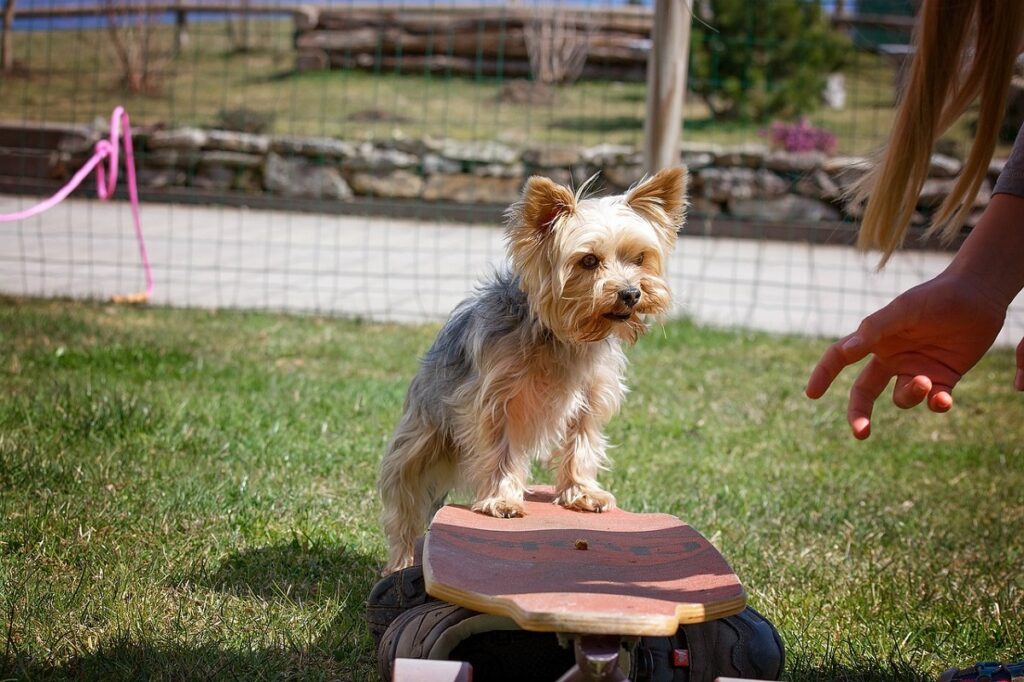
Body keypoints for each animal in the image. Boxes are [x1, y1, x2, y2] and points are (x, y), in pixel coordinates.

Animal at [378, 166, 688, 569]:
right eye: (589, 261)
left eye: (638, 258)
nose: (631, 293)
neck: (561, 336)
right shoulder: (494, 399)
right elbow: (499, 448)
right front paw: (501, 499)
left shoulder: (591, 395)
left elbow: (582, 441)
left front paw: (581, 492)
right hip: (420, 440)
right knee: (406, 503)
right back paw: (399, 566)